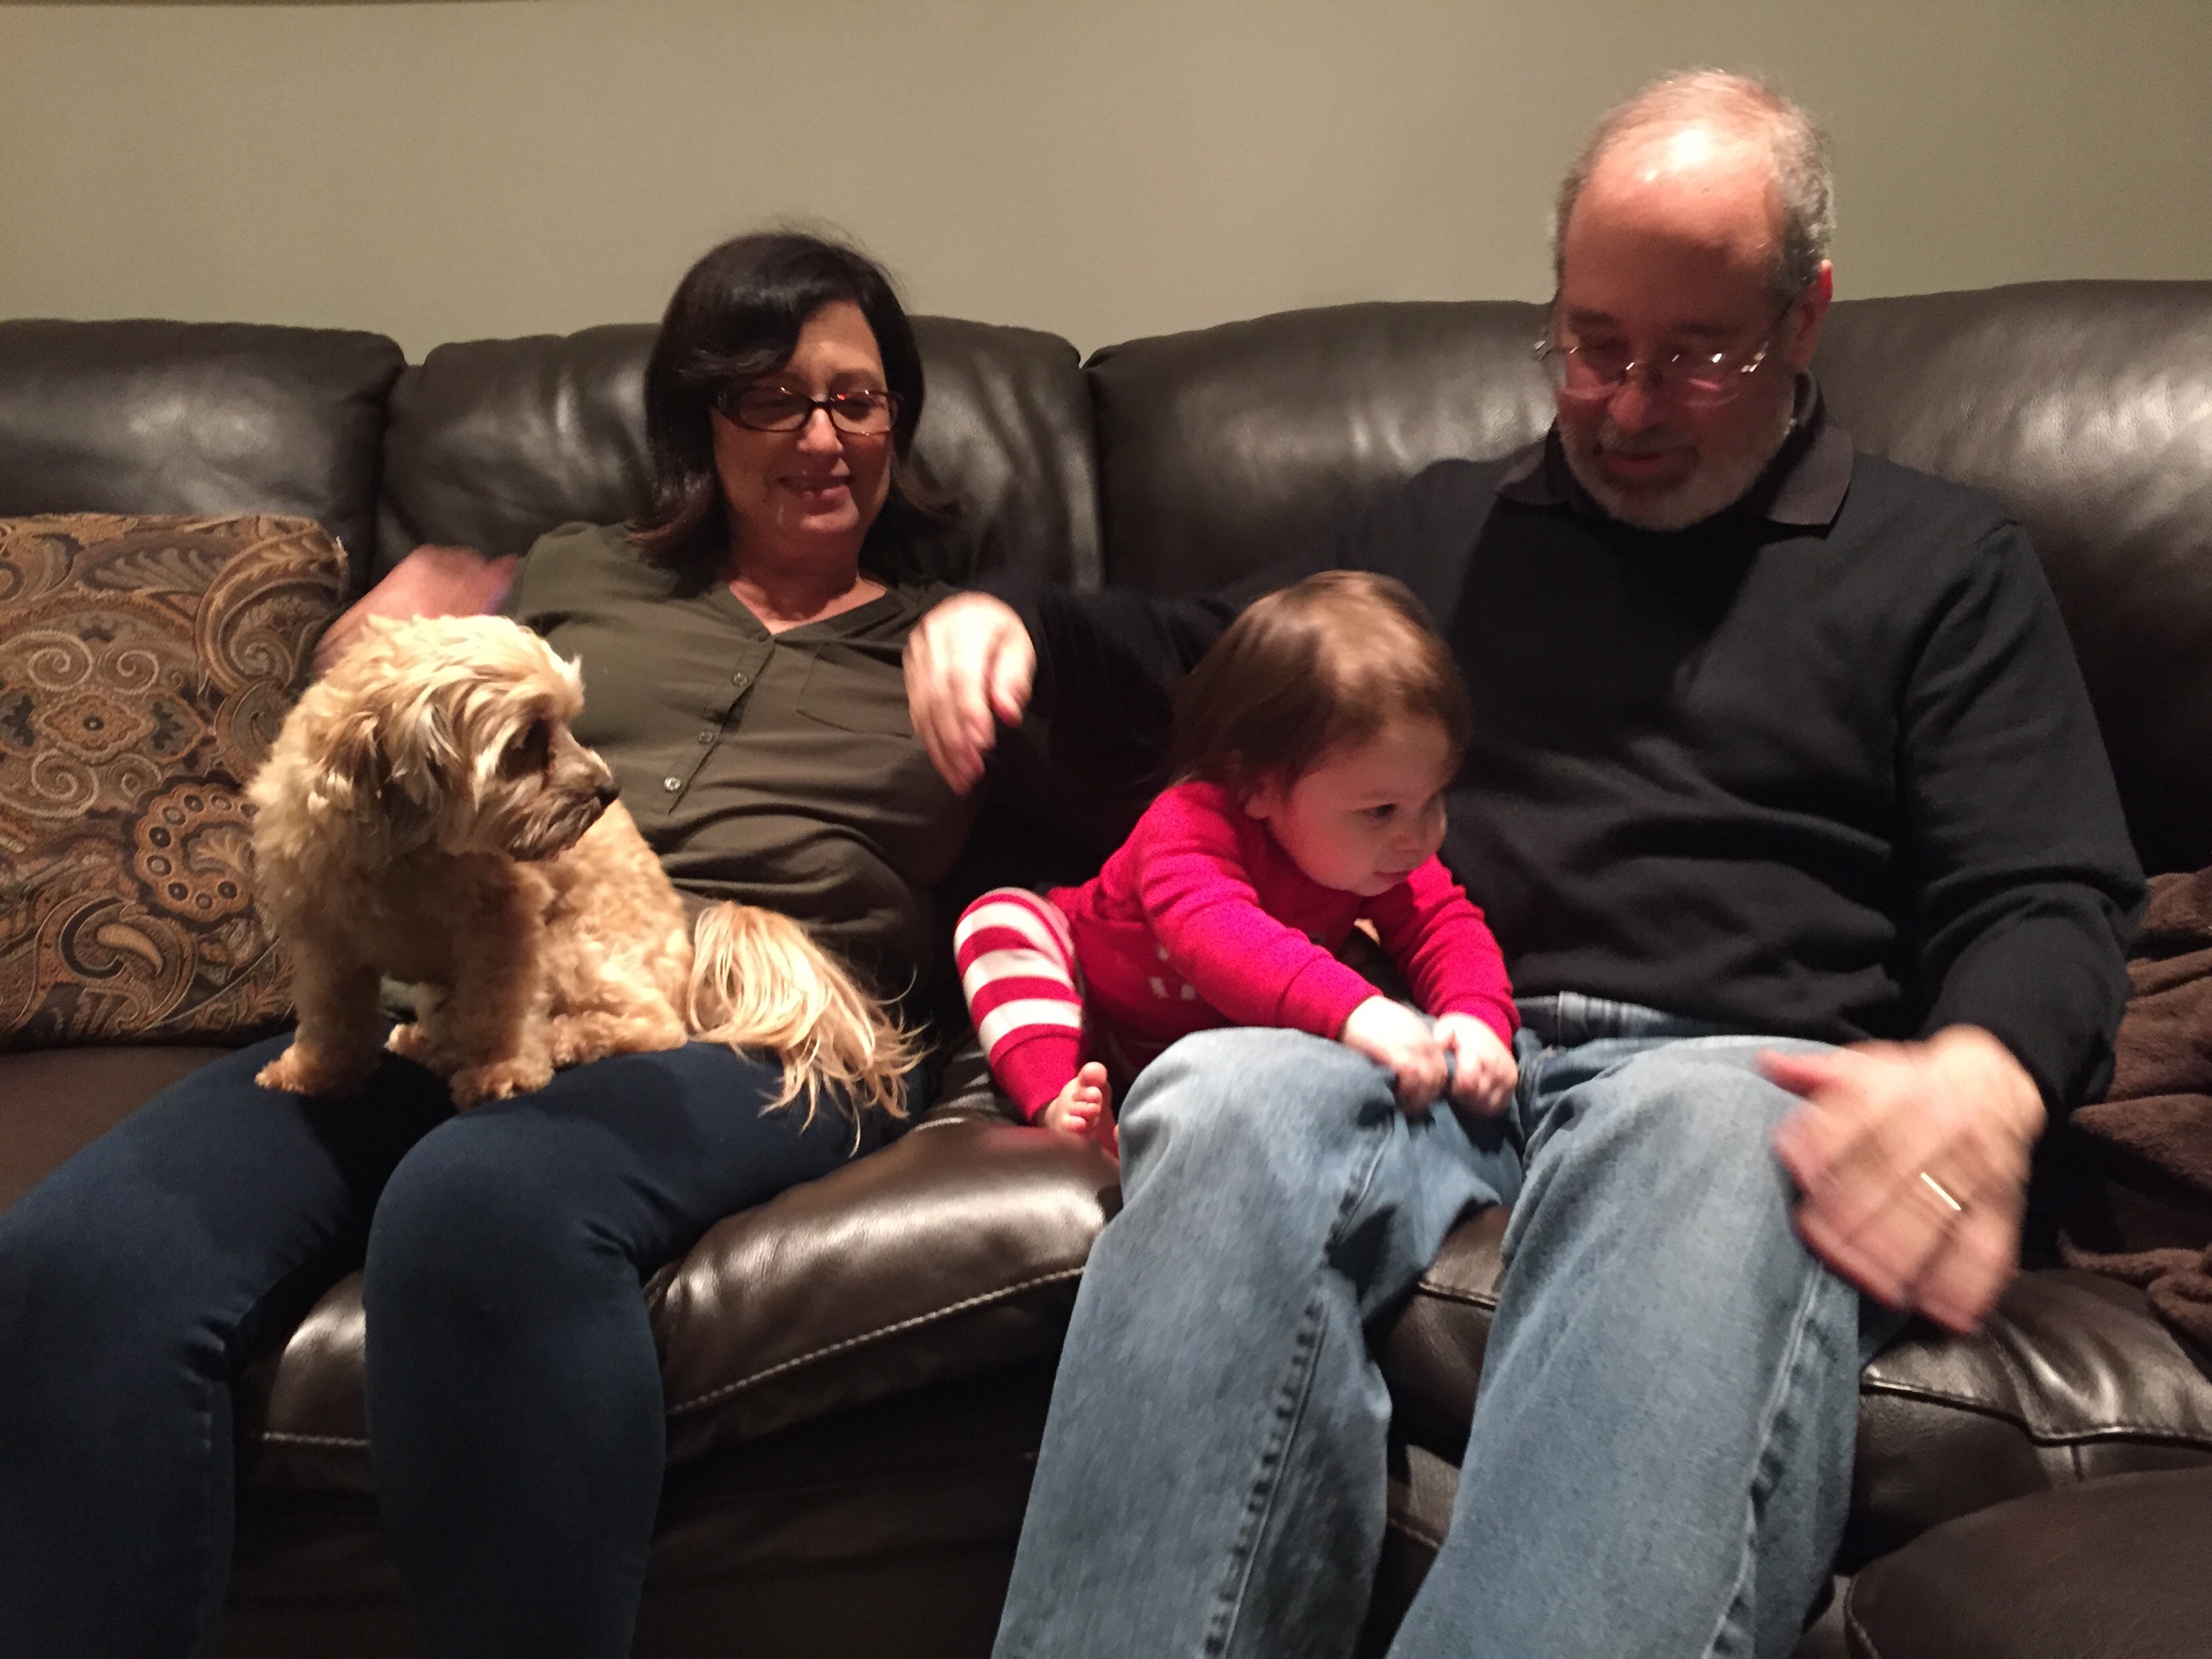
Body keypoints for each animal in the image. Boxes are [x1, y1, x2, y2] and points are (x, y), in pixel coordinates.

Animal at [248, 613, 913, 1117]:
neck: (404, 853)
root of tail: (691, 968)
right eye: (525, 743)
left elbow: (499, 1010)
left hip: (573, 950)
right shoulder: (325, 945)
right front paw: (312, 1074)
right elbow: (330, 1020)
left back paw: (554, 1042)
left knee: (653, 1025)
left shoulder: (506, 929)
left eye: (566, 723)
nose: (608, 790)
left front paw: (502, 1069)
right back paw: (429, 1041)